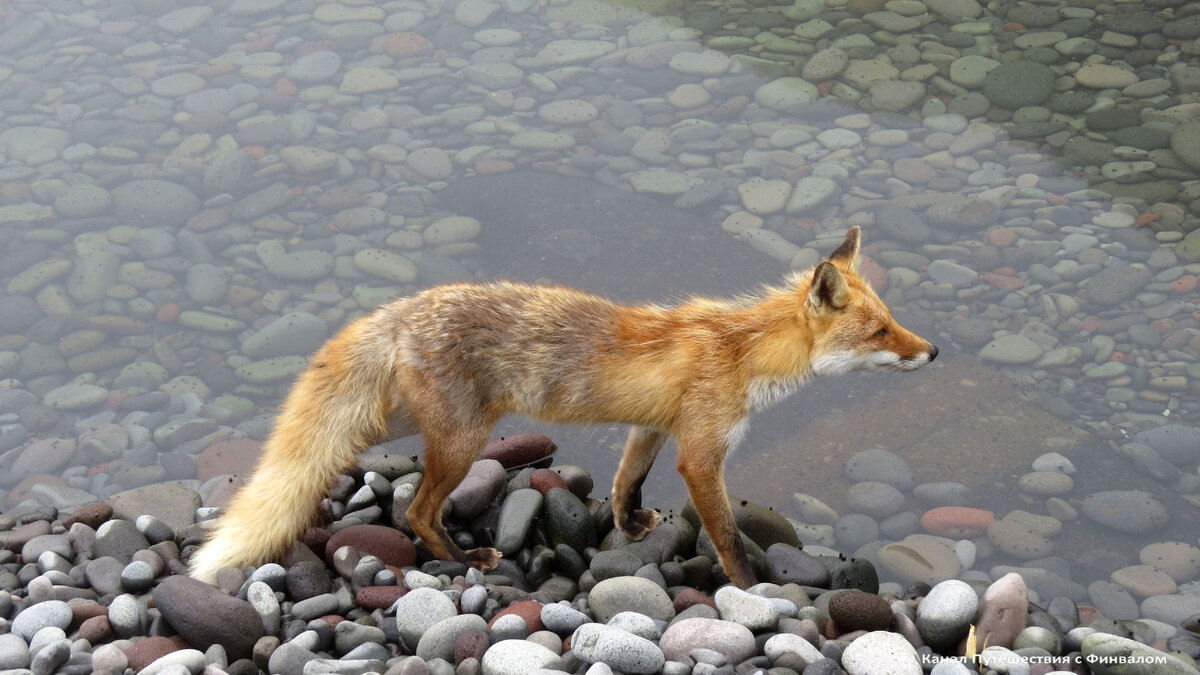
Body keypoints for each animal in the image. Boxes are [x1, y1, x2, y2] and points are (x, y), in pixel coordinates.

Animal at [187, 224, 936, 583]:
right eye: (879, 331)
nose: (932, 352)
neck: (743, 351)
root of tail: (401, 312)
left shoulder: (651, 428)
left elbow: (627, 480)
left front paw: (629, 526)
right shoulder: (702, 452)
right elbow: (725, 533)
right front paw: (750, 585)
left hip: (398, 424)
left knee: (316, 467)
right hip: (462, 442)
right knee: (416, 511)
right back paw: (463, 560)